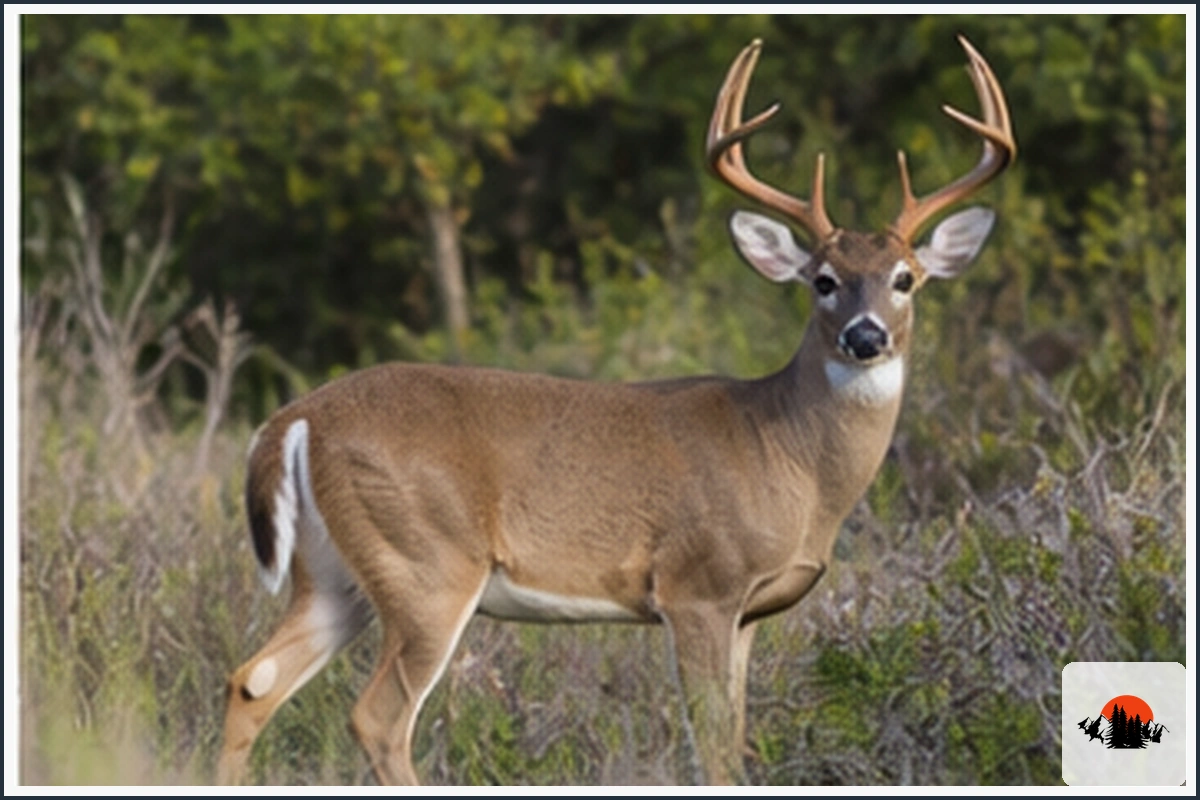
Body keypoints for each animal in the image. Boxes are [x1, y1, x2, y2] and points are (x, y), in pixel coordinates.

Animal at [217, 35, 1014, 785]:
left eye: (905, 278)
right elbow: (713, 746)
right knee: (376, 717)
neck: (789, 457)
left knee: (252, 682)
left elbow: (735, 737)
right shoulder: (698, 585)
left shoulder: (750, 611)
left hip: (336, 574)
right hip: (428, 561)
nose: (866, 336)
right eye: (822, 280)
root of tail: (294, 420)